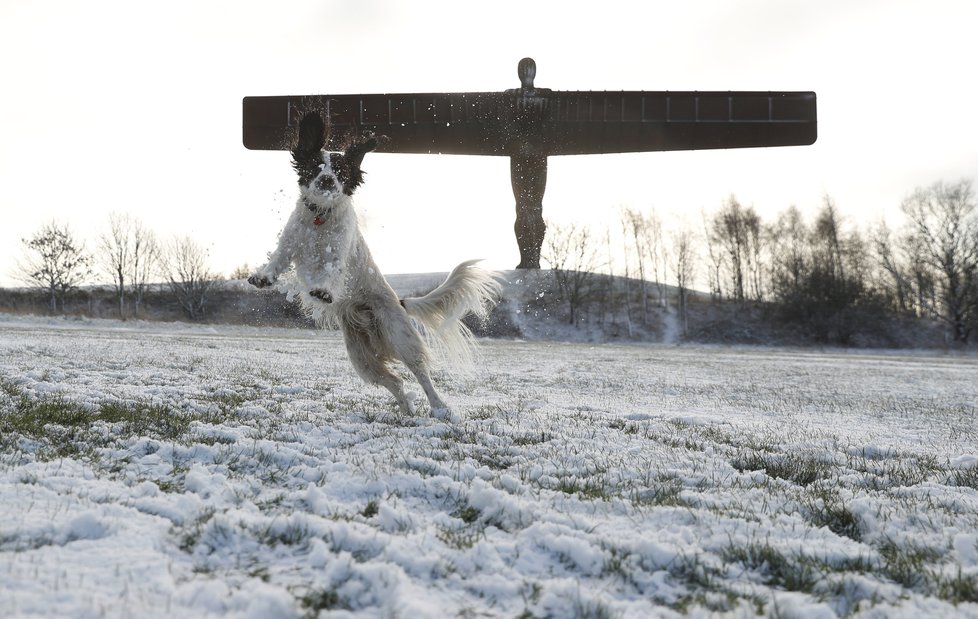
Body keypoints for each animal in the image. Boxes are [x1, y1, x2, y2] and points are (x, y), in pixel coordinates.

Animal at [248, 111, 500, 422]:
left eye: (341, 172)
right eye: (315, 167)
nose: (327, 179)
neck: (321, 216)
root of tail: (400, 303)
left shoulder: (338, 253)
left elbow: (331, 271)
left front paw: (323, 291)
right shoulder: (291, 241)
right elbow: (278, 259)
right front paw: (263, 277)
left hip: (400, 337)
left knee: (421, 374)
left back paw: (439, 408)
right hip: (362, 357)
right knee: (395, 381)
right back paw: (407, 412)